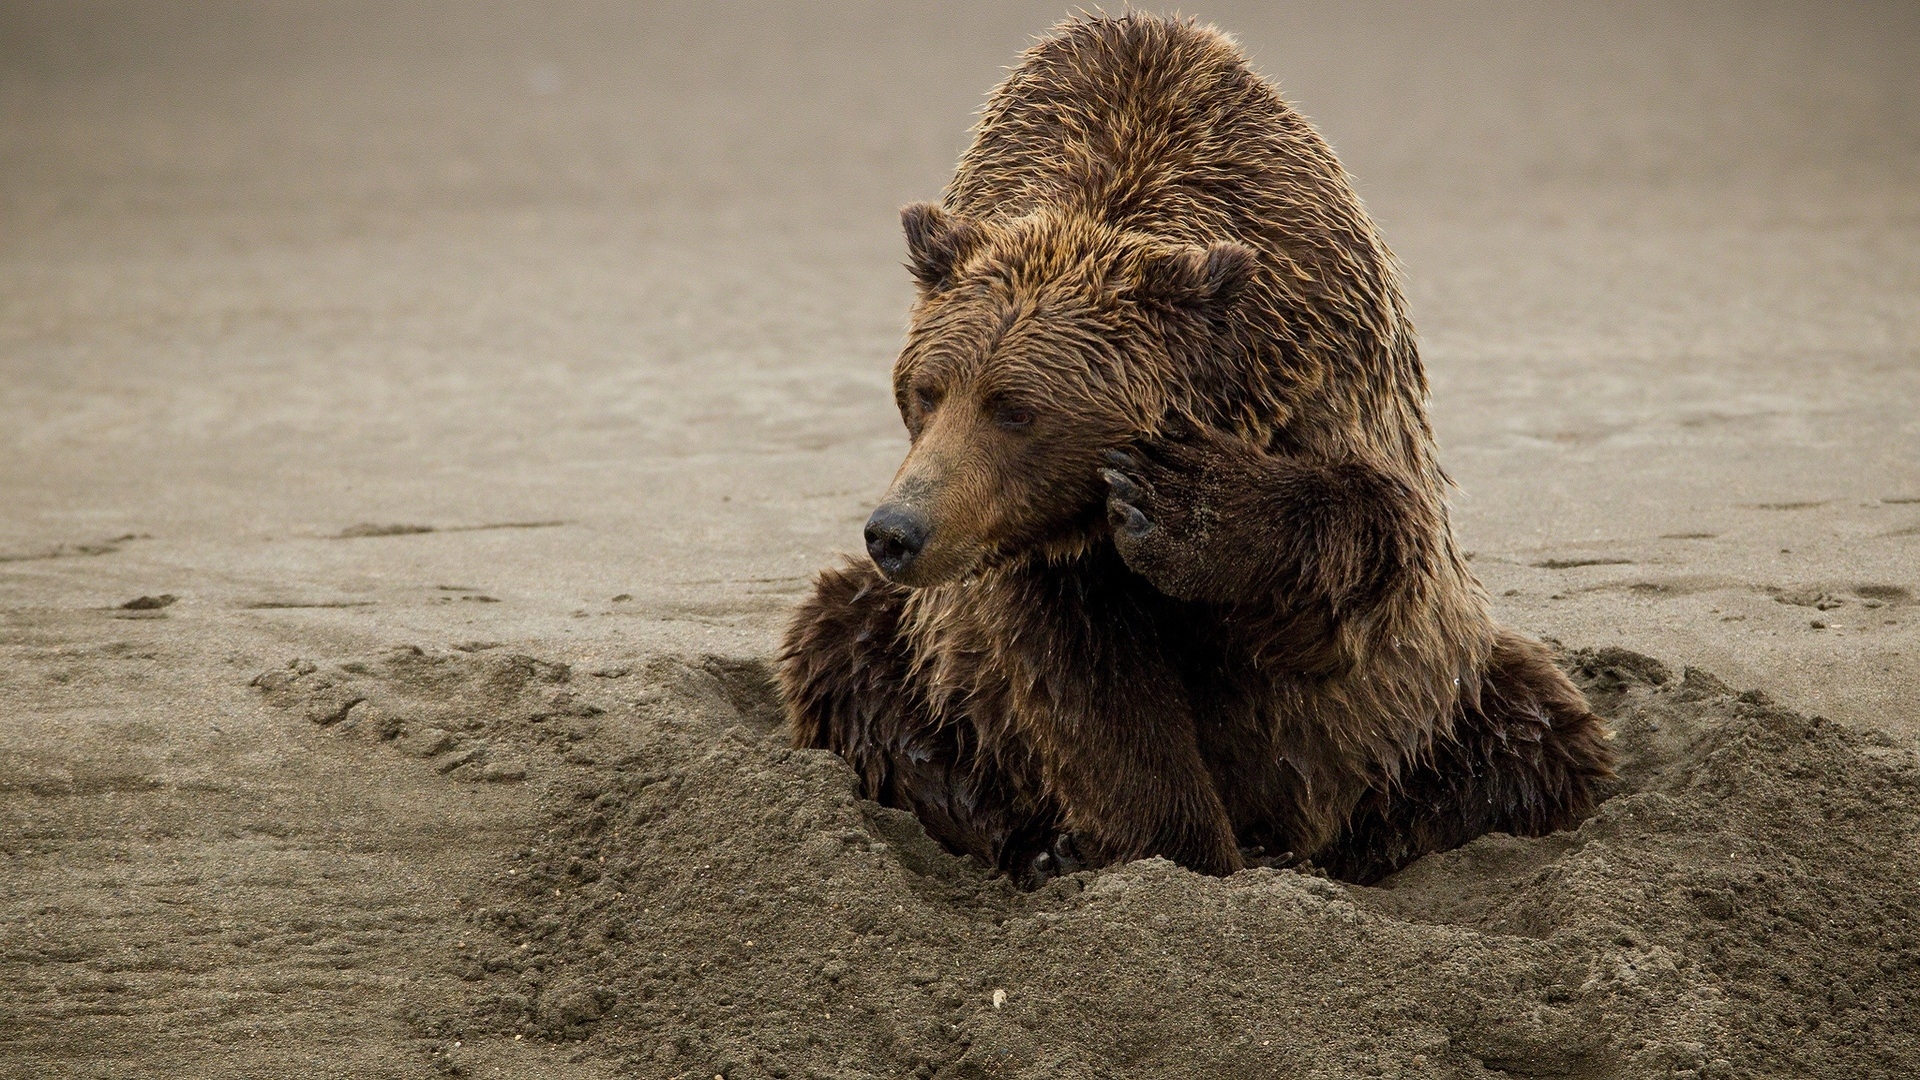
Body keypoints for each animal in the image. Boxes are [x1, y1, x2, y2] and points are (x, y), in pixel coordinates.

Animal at [771, 12, 1612, 880]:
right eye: (926, 391)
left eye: (1015, 409)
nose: (897, 531)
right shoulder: (1042, 559)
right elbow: (1091, 689)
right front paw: (1178, 850)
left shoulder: (1322, 360)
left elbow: (1370, 540)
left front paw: (1183, 506)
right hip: (918, 658)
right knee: (841, 647)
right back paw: (1037, 843)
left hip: (1441, 700)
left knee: (1534, 738)